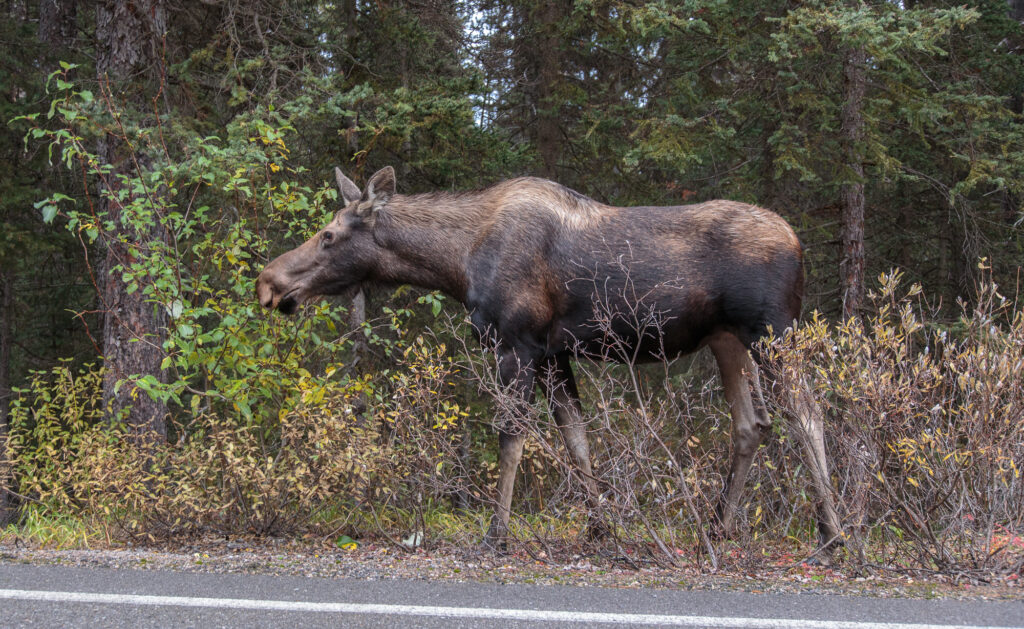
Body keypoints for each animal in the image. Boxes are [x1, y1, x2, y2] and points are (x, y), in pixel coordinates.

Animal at [258, 168, 847, 561]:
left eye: (329, 235)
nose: (269, 283)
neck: (456, 262)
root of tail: (799, 244)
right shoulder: (554, 354)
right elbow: (576, 438)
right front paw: (600, 528)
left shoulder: (517, 345)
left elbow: (511, 437)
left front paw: (496, 532)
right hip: (727, 341)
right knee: (751, 424)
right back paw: (718, 527)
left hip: (773, 331)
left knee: (806, 414)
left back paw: (833, 533)